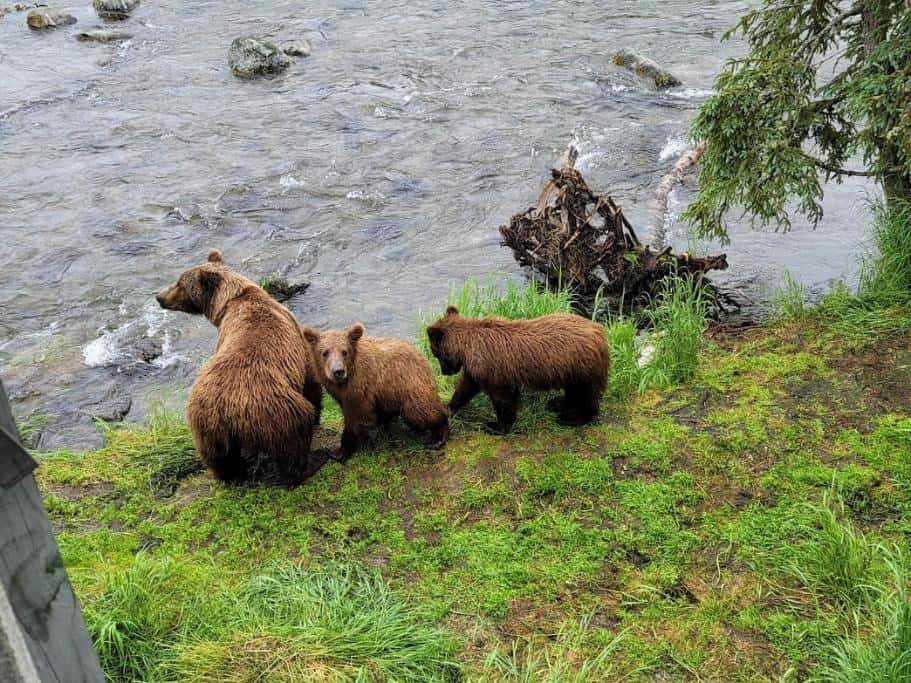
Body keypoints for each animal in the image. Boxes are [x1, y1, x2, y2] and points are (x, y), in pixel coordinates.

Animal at [156, 249, 324, 485]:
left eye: (179, 283)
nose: (159, 296)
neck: (232, 300)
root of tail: (225, 411)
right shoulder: (296, 340)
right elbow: (311, 383)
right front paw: (318, 415)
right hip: (275, 410)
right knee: (295, 439)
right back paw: (308, 465)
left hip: (204, 426)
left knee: (220, 459)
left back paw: (231, 476)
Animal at [302, 323, 449, 461]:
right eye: (325, 352)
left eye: (344, 352)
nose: (338, 371)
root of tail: (422, 356)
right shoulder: (341, 393)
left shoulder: (358, 388)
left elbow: (355, 419)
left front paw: (339, 451)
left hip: (409, 384)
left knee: (421, 411)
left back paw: (437, 437)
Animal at [425, 306, 610, 433]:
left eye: (435, 353)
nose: (445, 372)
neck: (468, 348)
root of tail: (599, 330)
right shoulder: (476, 369)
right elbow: (465, 388)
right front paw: (449, 407)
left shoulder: (493, 370)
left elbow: (503, 399)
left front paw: (495, 426)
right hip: (570, 369)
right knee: (573, 390)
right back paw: (558, 403)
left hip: (584, 366)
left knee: (588, 393)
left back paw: (573, 417)